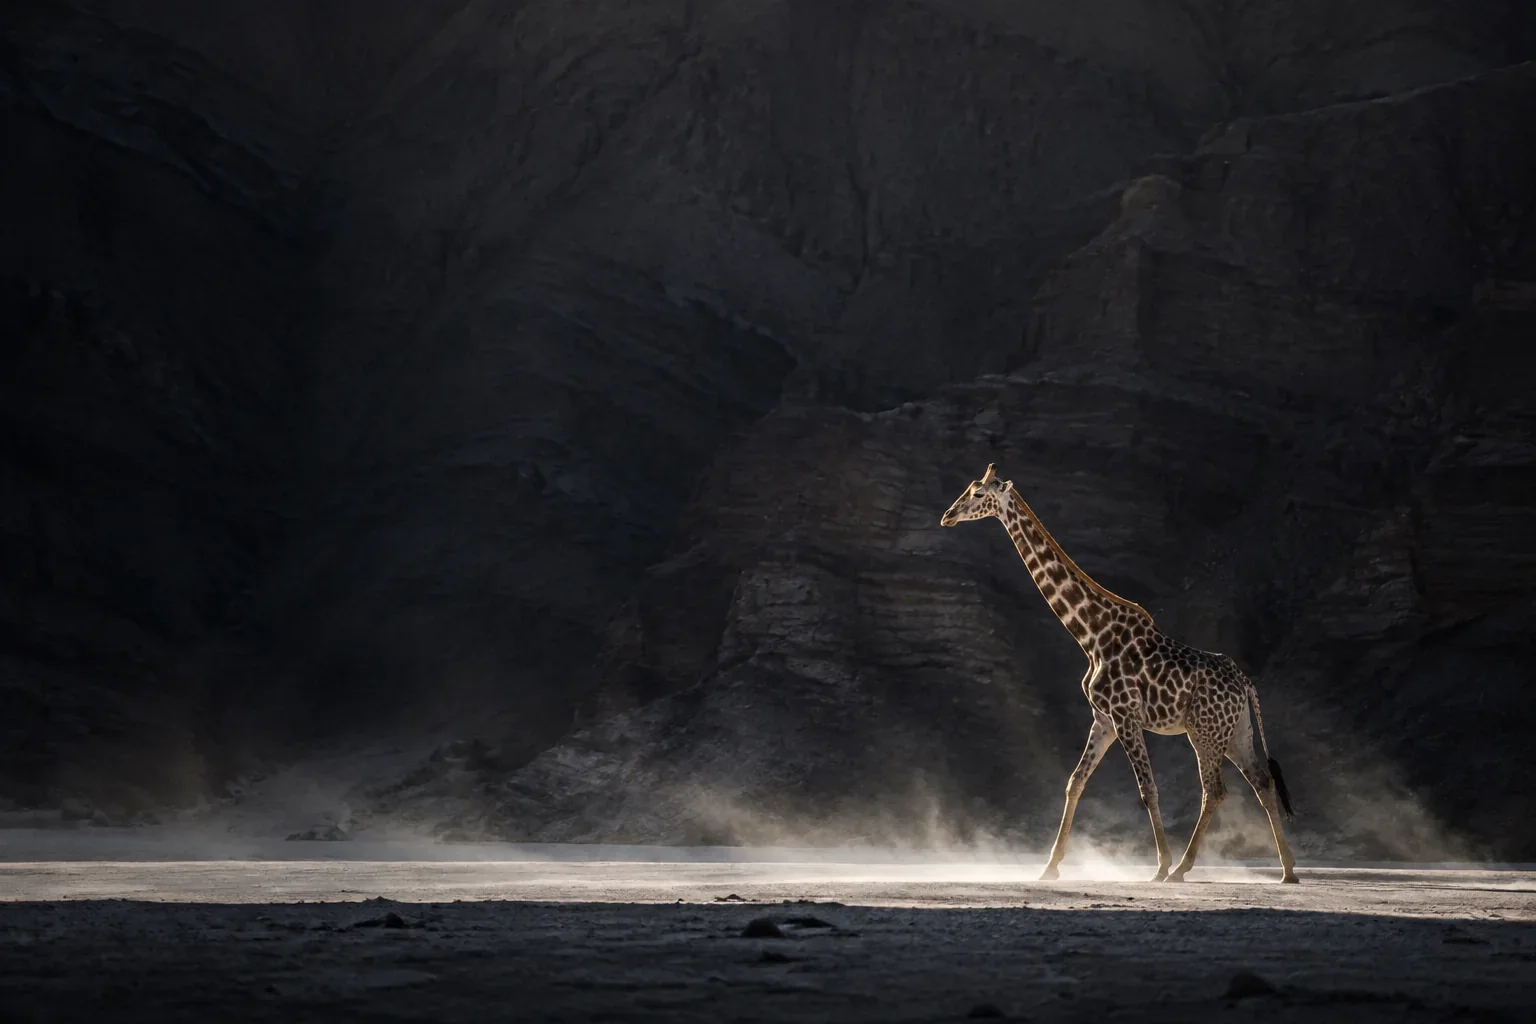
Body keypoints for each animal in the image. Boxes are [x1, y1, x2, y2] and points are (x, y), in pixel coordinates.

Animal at [941, 464, 1299, 883]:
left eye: (979, 495)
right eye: (969, 489)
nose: (948, 515)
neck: (1091, 634)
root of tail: (1245, 684)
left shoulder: (1125, 714)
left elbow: (1147, 789)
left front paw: (1159, 865)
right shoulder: (1103, 718)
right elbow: (1074, 783)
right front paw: (1050, 866)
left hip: (1204, 731)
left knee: (1215, 790)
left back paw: (1180, 868)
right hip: (1236, 731)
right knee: (1262, 783)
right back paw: (1287, 870)